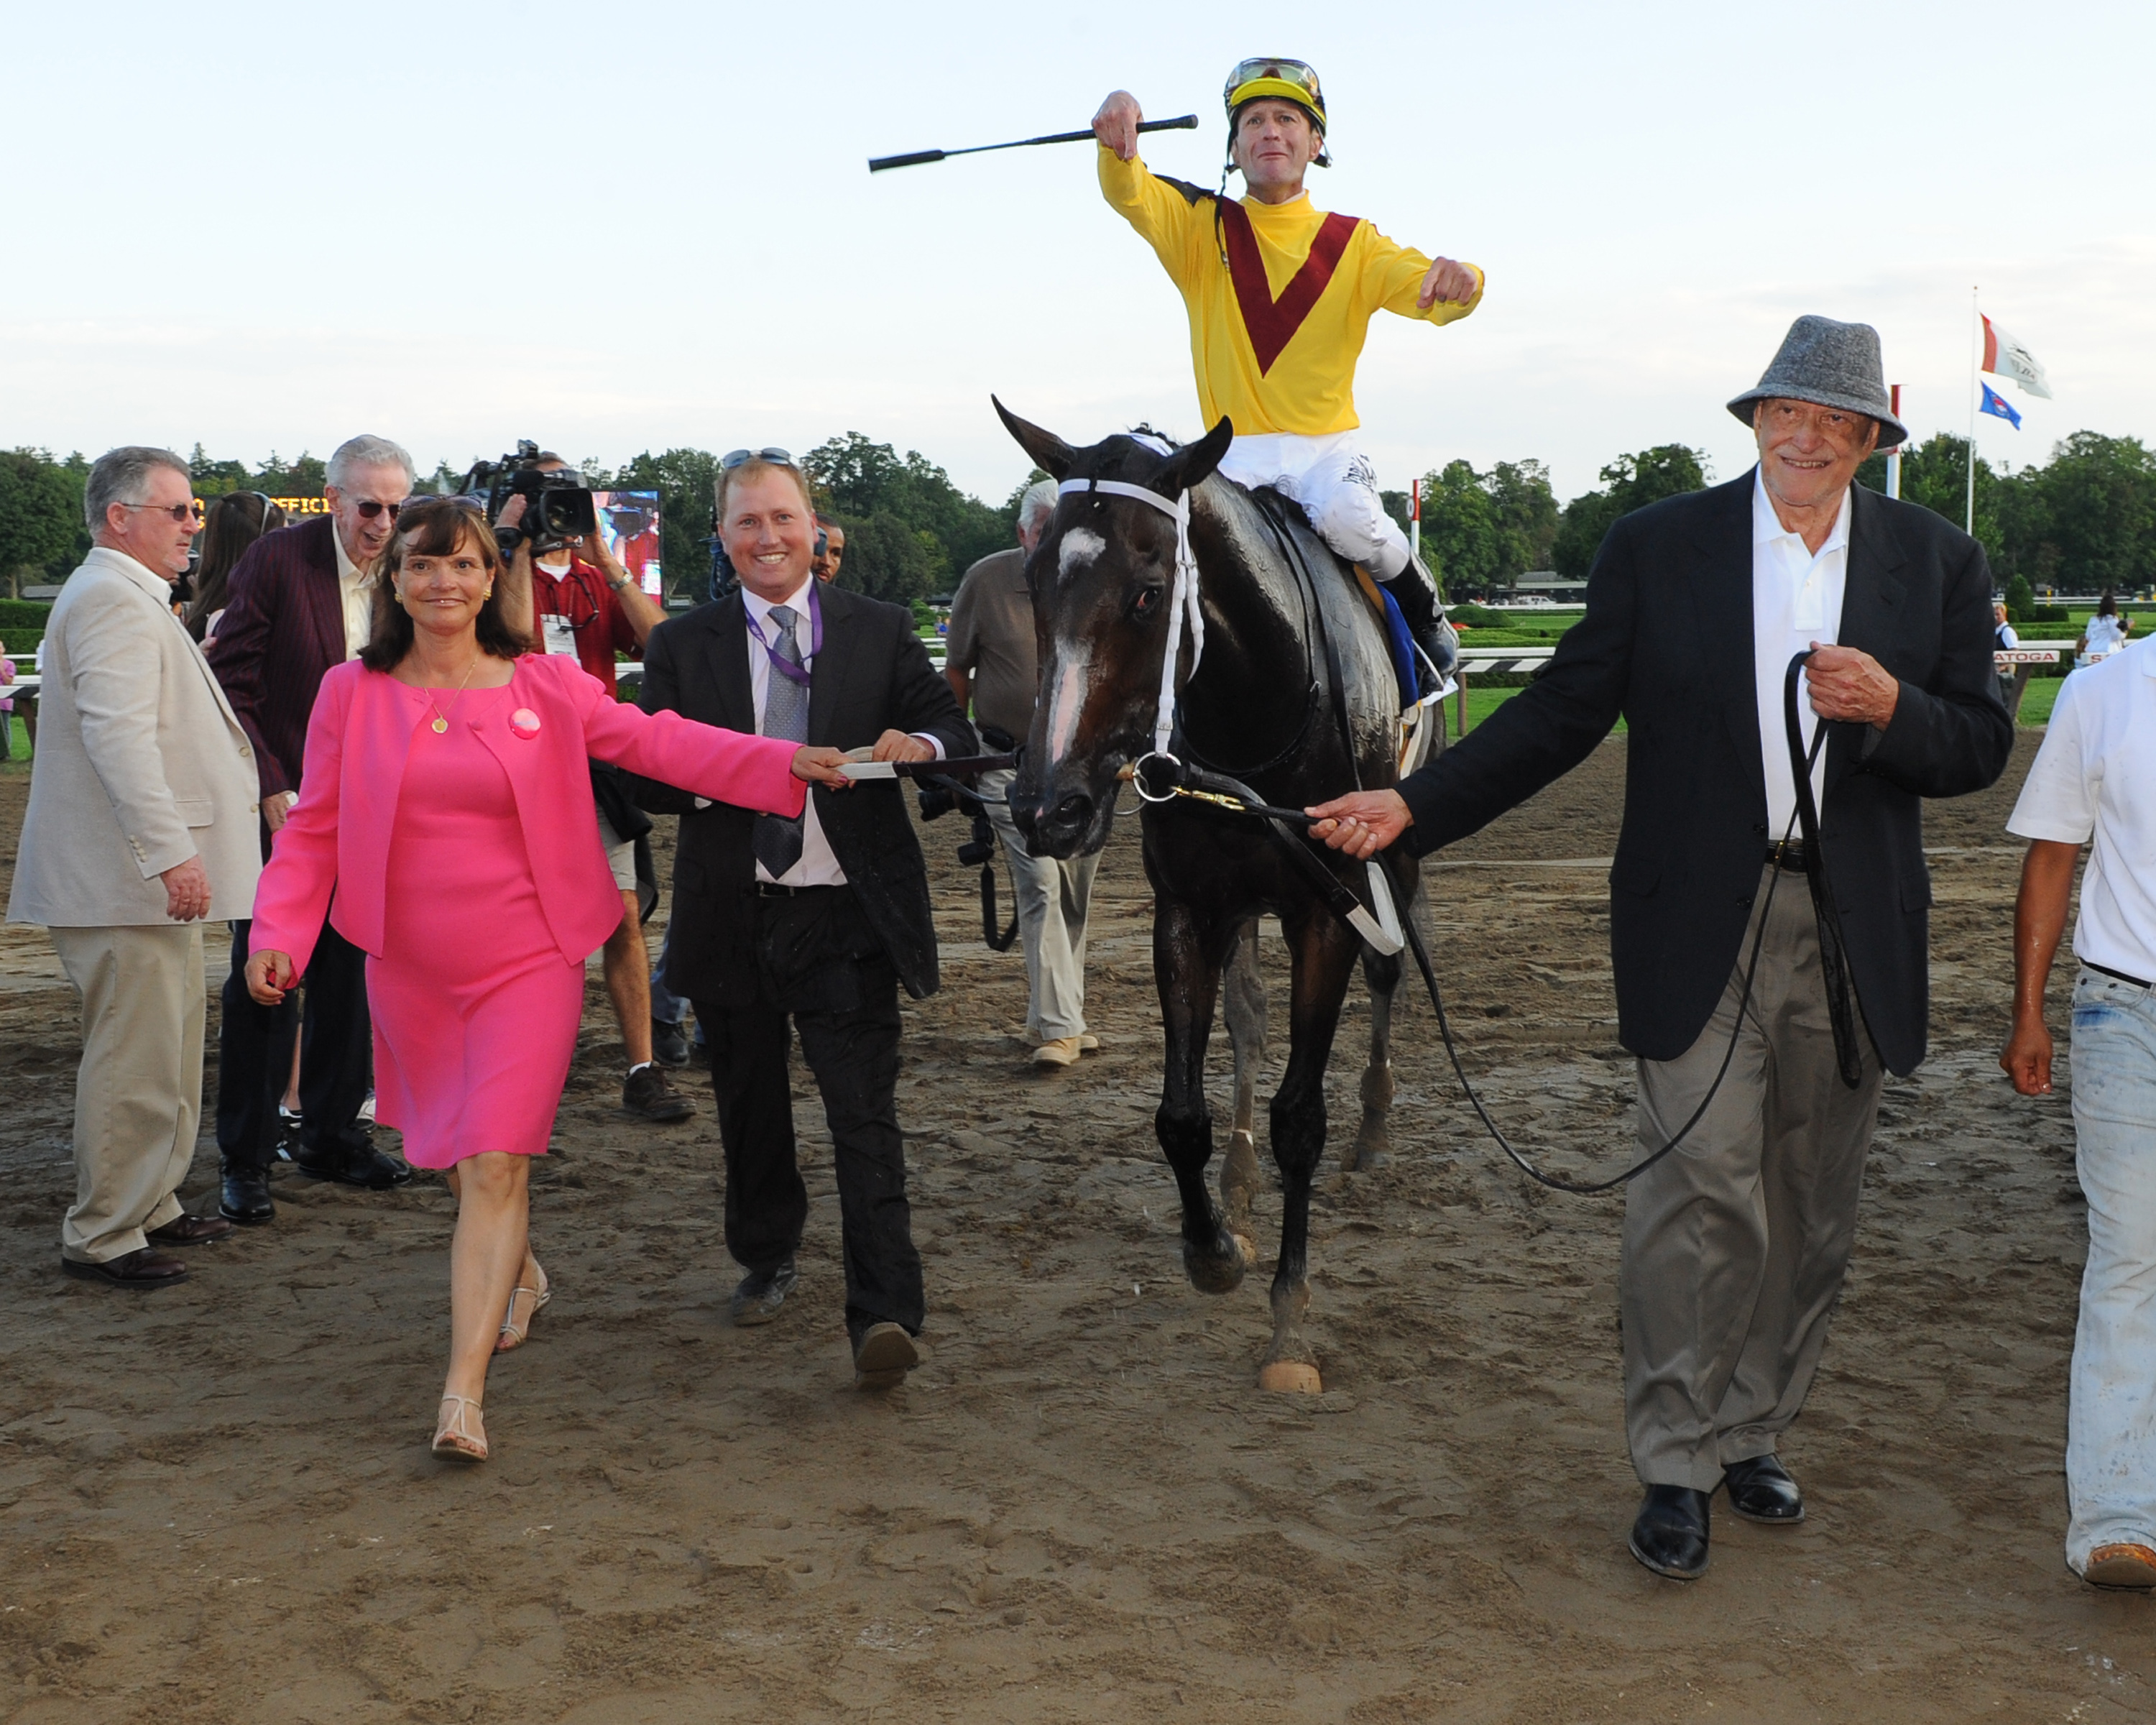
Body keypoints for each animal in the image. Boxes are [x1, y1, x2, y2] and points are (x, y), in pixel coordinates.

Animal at [996, 401, 1440, 1389]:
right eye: (1036, 587)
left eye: (1148, 593)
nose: (1049, 807)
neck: (1257, 714)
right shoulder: (1190, 910)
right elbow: (1182, 1113)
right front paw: (1214, 1248)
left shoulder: (1327, 909)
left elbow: (1301, 1118)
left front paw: (1290, 1326)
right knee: (1246, 1024)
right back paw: (1238, 1193)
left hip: (1395, 847)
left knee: (1390, 976)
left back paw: (1377, 1126)